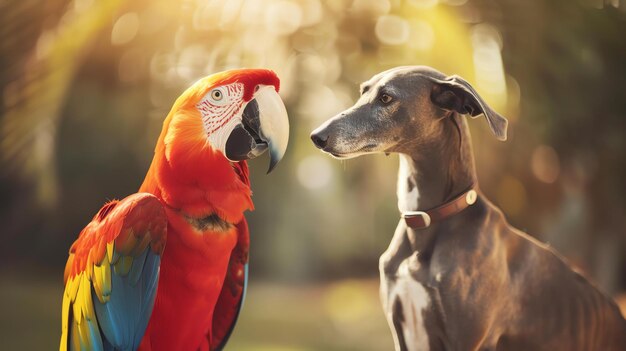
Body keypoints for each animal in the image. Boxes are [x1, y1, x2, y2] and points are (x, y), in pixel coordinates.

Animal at [308, 66, 624, 351]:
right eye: (364, 92)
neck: (429, 219)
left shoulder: (464, 338)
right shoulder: (400, 330)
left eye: (387, 98)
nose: (317, 136)